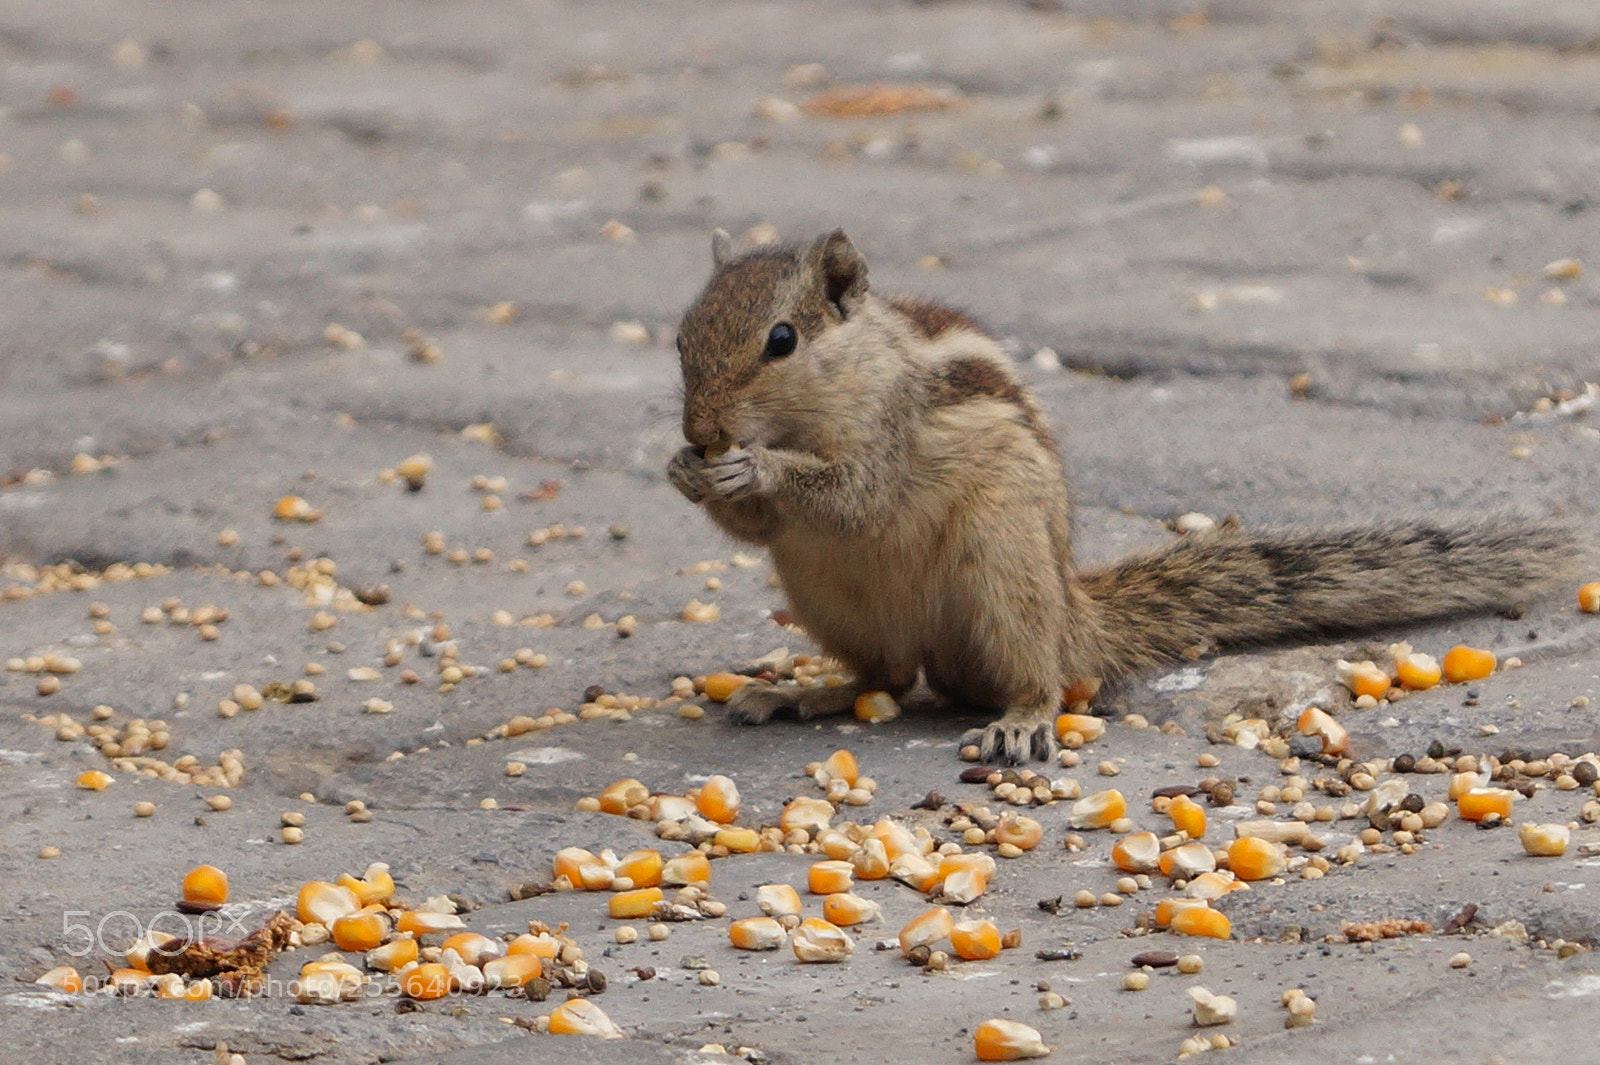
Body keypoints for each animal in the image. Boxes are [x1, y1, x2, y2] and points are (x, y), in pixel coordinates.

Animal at [666, 228, 1576, 763]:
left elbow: (853, 493)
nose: (702, 429)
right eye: (681, 338)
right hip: (828, 592)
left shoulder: (889, 433)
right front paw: (686, 470)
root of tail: (1074, 614)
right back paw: (799, 692)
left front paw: (754, 468)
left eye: (782, 340)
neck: (841, 379)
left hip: (1002, 574)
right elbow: (761, 528)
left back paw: (1022, 718)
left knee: (1022, 674)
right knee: (883, 672)